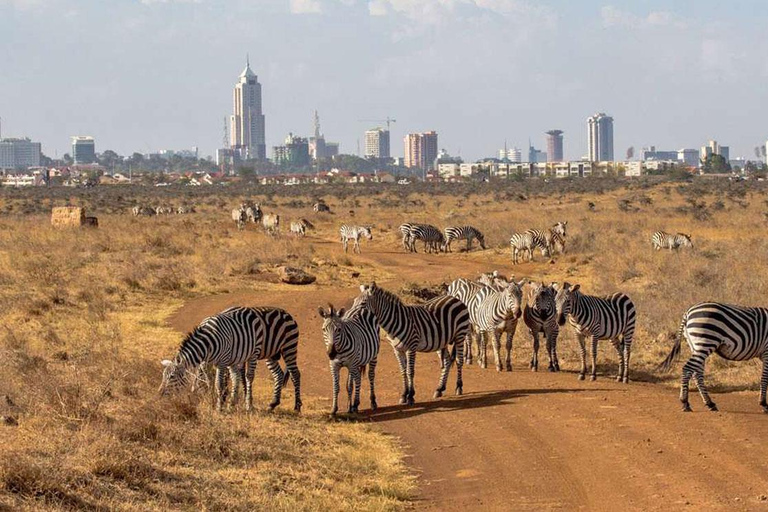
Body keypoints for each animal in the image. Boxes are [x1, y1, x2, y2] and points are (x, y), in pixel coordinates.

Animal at [160, 308, 304, 412]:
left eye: (172, 376)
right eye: (163, 375)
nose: (160, 394)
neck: (207, 342)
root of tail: (287, 314)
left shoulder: (222, 362)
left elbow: (219, 383)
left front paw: (219, 405)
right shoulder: (207, 362)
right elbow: (207, 380)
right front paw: (212, 398)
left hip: (286, 348)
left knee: (293, 374)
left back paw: (296, 406)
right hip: (270, 354)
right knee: (277, 374)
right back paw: (272, 403)